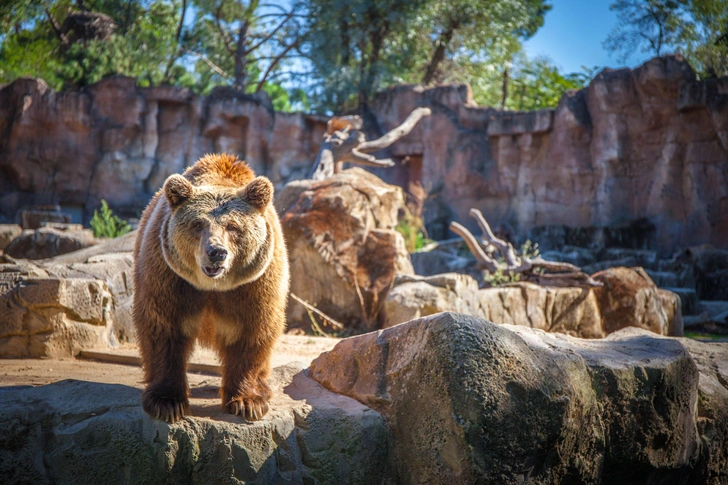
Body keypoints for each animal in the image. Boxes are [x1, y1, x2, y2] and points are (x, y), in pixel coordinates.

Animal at [132, 153, 288, 422]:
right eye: (197, 224)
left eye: (233, 226)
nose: (216, 252)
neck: (213, 287)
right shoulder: (168, 277)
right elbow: (162, 327)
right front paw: (167, 402)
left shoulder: (255, 284)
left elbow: (253, 332)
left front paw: (247, 402)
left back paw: (264, 389)